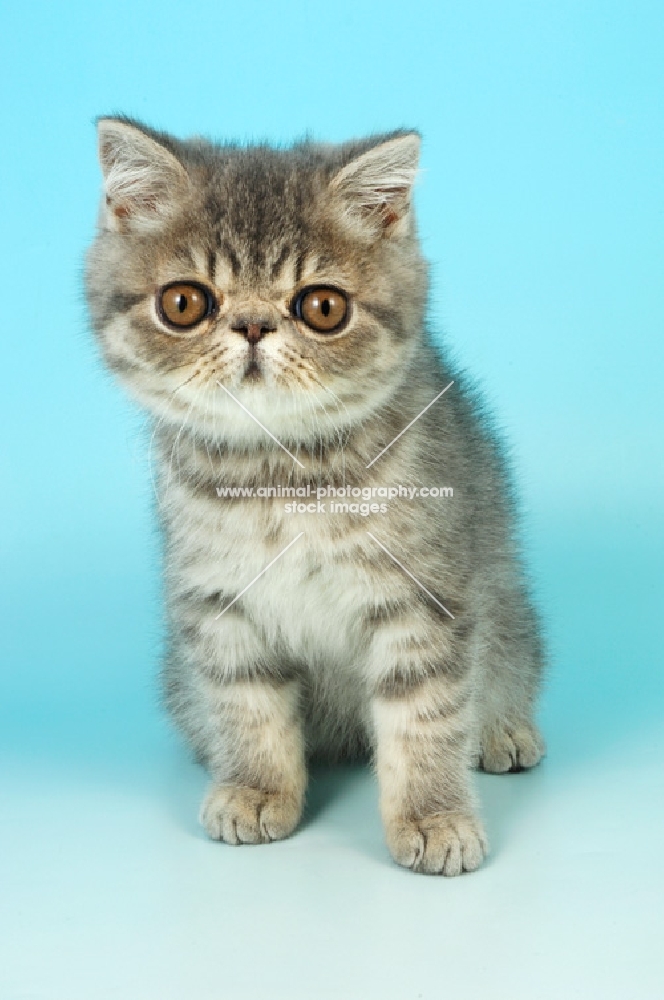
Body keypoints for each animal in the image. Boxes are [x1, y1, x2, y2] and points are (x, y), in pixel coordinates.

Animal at [85, 117, 544, 876]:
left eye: (322, 307)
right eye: (184, 303)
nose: (251, 325)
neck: (284, 474)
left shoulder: (424, 596)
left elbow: (424, 712)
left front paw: (434, 815)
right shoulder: (219, 600)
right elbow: (246, 702)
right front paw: (256, 788)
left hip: (506, 608)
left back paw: (505, 730)